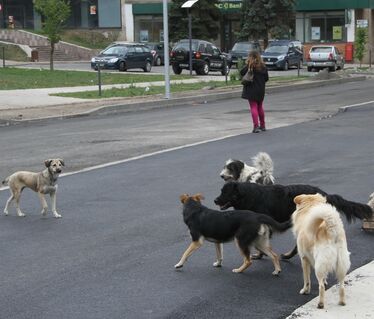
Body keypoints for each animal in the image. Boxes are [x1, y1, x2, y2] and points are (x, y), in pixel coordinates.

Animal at [213, 182, 374, 260]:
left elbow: (260, 244)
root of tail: (326, 195)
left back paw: (288, 255)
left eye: (225, 192)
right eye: (221, 191)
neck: (247, 195)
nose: (215, 200)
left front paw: (260, 255)